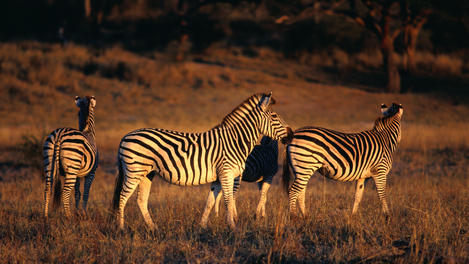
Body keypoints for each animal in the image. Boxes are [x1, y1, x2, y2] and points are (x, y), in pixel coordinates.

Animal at [111, 93, 290, 229]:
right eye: (275, 116)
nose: (291, 134)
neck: (235, 141)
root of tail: (125, 136)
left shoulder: (219, 177)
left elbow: (210, 202)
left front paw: (202, 227)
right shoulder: (226, 173)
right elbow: (228, 201)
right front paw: (232, 227)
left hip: (147, 173)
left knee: (141, 200)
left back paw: (153, 228)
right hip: (134, 170)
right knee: (122, 197)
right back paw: (121, 228)